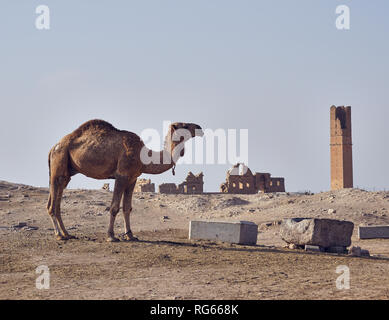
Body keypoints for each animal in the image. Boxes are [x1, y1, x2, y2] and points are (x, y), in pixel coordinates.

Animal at [47, 119, 203, 241]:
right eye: (184, 125)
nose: (200, 128)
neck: (143, 156)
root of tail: (52, 148)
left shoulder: (132, 178)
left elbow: (127, 207)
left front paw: (130, 235)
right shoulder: (121, 175)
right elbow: (114, 207)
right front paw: (111, 236)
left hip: (67, 171)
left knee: (57, 200)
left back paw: (67, 234)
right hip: (59, 161)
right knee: (52, 203)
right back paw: (59, 235)